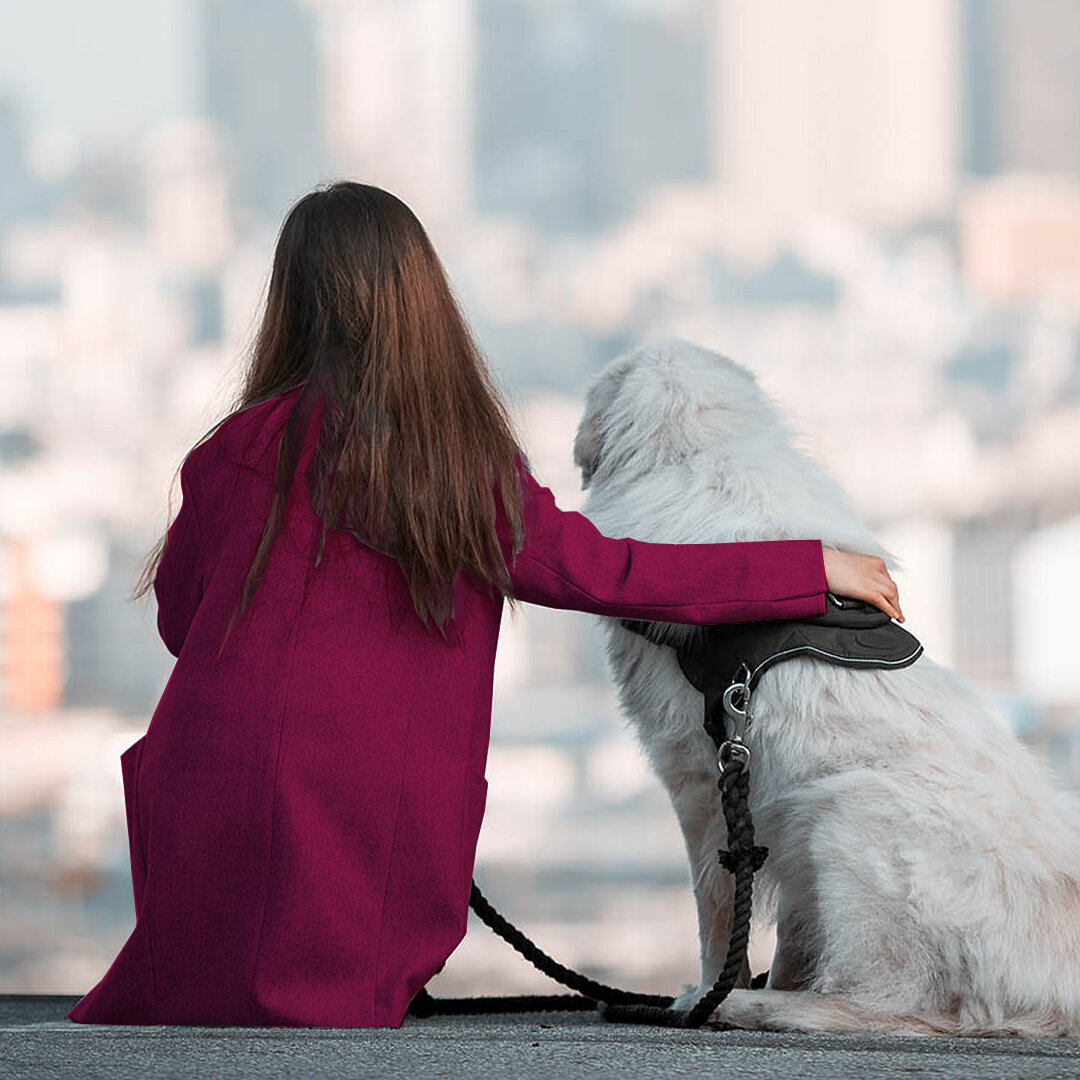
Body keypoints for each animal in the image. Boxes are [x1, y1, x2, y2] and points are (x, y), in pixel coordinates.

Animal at [570, 336, 1080, 1036]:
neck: (705, 452)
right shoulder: (765, 801)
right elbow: (793, 928)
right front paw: (766, 978)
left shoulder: (701, 783)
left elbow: (717, 916)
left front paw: (713, 993)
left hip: (845, 813)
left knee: (883, 1004)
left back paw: (748, 1007)